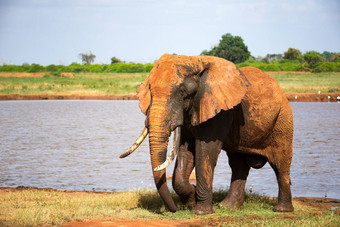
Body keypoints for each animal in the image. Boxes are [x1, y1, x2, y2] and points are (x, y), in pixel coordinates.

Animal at [119, 53, 292, 215]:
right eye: (150, 91)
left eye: (182, 92)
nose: (173, 209)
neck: (196, 60)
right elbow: (186, 150)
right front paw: (191, 200)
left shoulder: (218, 109)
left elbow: (205, 150)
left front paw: (200, 211)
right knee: (238, 164)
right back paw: (227, 207)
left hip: (282, 120)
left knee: (280, 164)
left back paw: (281, 210)